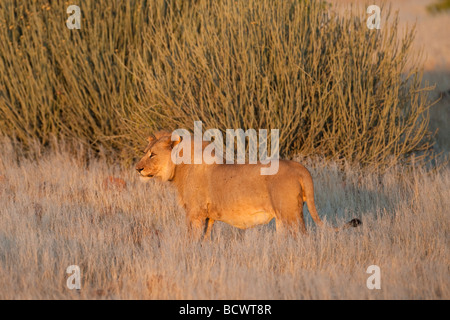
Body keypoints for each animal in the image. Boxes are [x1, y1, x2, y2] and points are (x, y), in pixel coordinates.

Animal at [135, 131, 360, 240]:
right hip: (284, 217)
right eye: (145, 152)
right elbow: (205, 240)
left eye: (152, 154)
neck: (180, 167)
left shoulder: (194, 214)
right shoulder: (208, 217)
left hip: (290, 214)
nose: (137, 169)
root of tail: (299, 167)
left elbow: (192, 239)